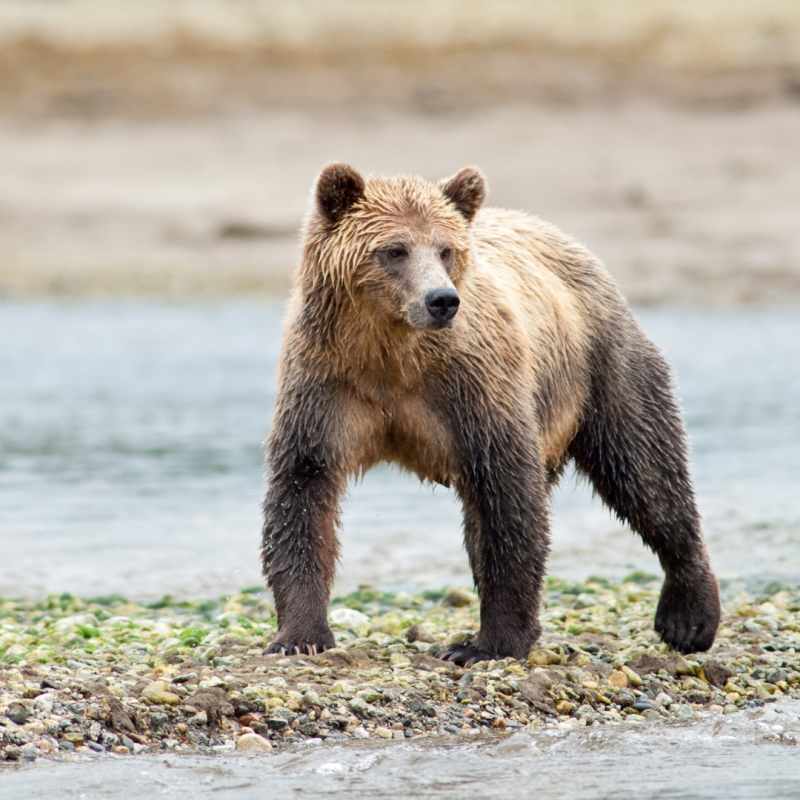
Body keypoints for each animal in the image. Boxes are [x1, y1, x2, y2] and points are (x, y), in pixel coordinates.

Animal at [260, 163, 721, 665]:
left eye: (446, 249)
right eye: (395, 249)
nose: (441, 299)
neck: (391, 353)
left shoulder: (473, 387)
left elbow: (506, 495)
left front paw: (487, 645)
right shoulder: (327, 386)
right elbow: (304, 489)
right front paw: (299, 634)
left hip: (602, 365)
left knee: (644, 467)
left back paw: (689, 617)